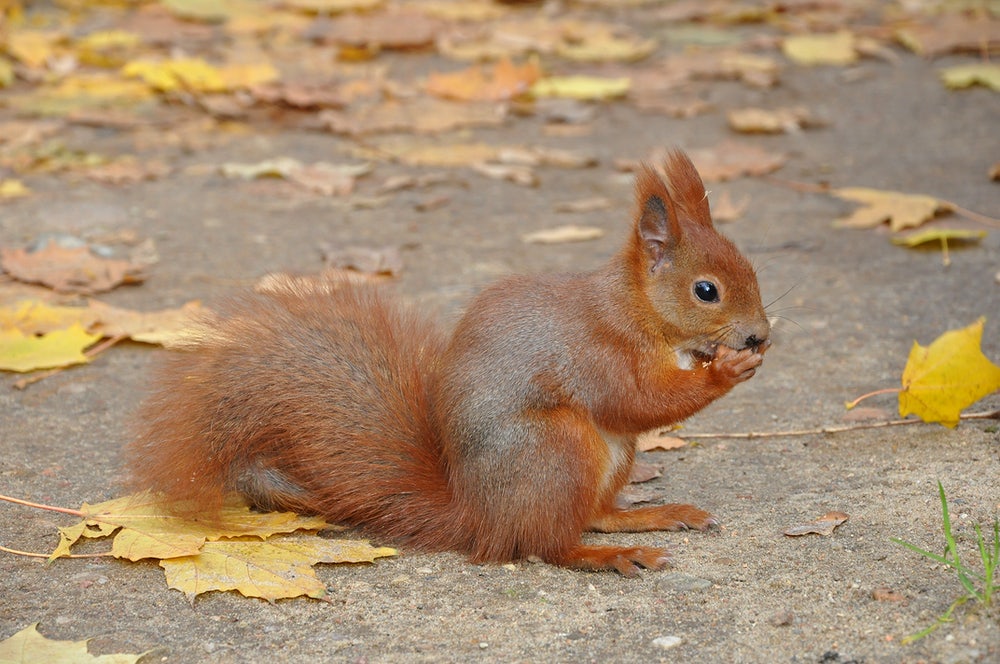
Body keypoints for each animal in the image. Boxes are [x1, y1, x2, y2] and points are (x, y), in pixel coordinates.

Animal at [128, 150, 770, 577]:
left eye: (751, 269)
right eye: (706, 291)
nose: (760, 336)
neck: (636, 308)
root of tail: (480, 518)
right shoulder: (596, 351)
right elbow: (638, 399)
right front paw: (726, 370)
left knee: (592, 514)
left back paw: (651, 516)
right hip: (556, 449)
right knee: (550, 543)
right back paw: (612, 554)